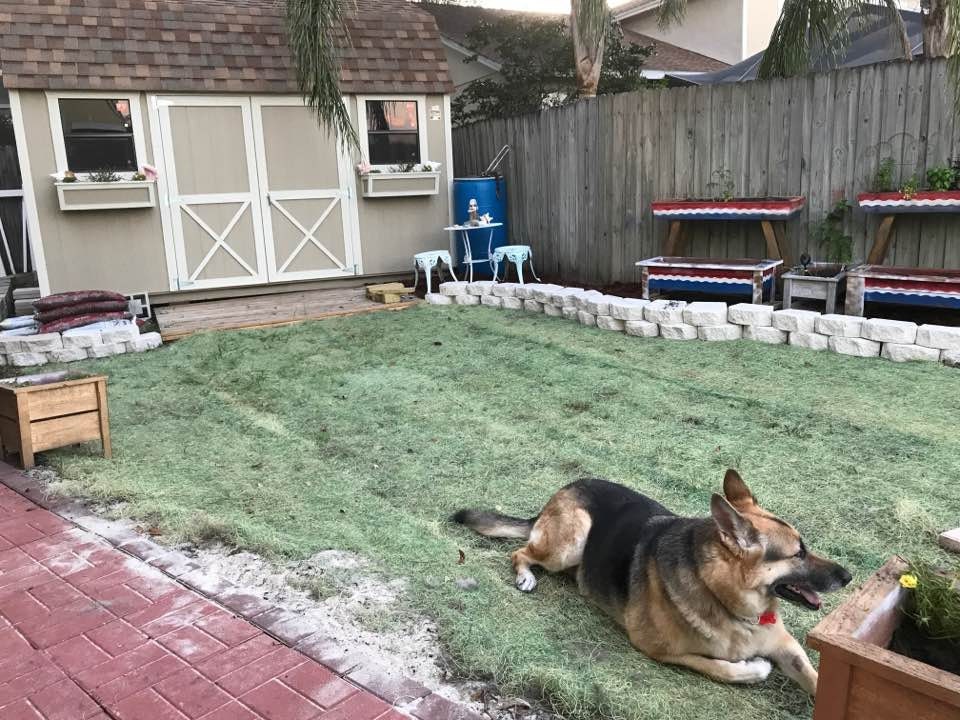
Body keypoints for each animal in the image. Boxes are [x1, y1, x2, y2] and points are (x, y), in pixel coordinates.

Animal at [454, 470, 852, 696]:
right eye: (798, 553)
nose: (848, 577)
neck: (727, 601)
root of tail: (565, 488)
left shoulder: (785, 643)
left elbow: (815, 675)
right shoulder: (659, 649)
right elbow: (720, 667)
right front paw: (754, 669)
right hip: (571, 539)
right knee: (521, 552)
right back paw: (525, 575)